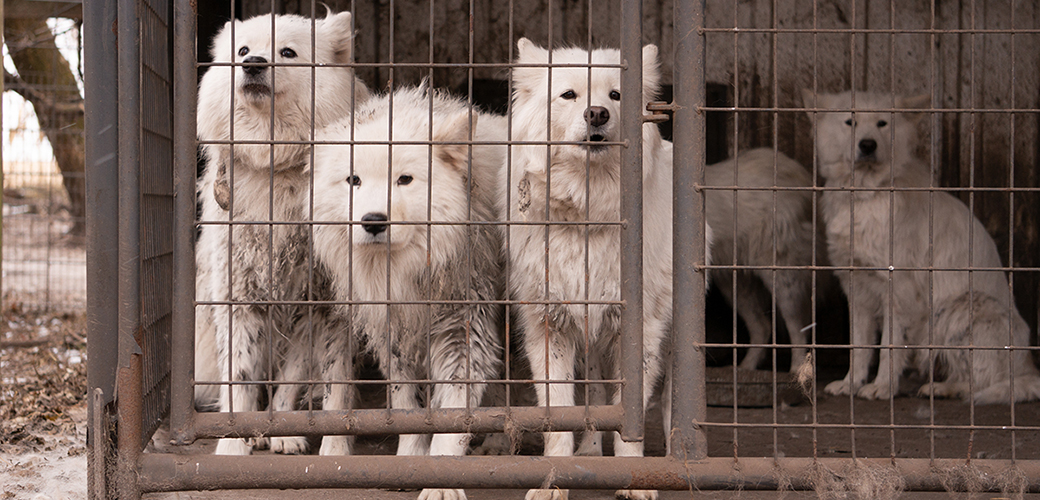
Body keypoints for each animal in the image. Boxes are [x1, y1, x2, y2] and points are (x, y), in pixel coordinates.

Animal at [193, 9, 372, 453]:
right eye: (242, 50)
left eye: (287, 52)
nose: (253, 64)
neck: (275, 164)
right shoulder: (239, 296)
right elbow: (240, 378)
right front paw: (233, 445)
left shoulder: (321, 307)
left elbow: (317, 383)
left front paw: (309, 441)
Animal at [307, 85, 507, 498]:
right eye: (354, 181)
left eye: (404, 180)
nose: (372, 222)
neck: (405, 273)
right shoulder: (394, 330)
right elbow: (407, 403)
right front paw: (411, 460)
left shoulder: (462, 330)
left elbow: (453, 412)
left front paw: (442, 480)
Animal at [505, 38, 711, 498]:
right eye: (569, 95)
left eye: (616, 96)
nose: (597, 113)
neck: (586, 215)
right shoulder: (549, 324)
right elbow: (560, 414)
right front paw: (555, 480)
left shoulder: (641, 330)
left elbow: (629, 414)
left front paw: (635, 478)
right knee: (594, 395)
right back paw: (589, 453)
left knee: (671, 401)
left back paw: (681, 455)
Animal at [703, 147, 815, 370]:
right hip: (735, 285)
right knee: (762, 326)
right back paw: (745, 367)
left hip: (781, 277)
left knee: (798, 326)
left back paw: (797, 370)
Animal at [807, 89, 1040, 401]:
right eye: (850, 122)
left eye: (882, 124)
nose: (867, 145)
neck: (869, 193)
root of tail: (1027, 367)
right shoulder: (858, 289)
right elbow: (859, 347)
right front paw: (850, 383)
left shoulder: (899, 292)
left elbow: (888, 348)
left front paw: (882, 386)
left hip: (961, 309)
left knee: (980, 382)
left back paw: (943, 389)